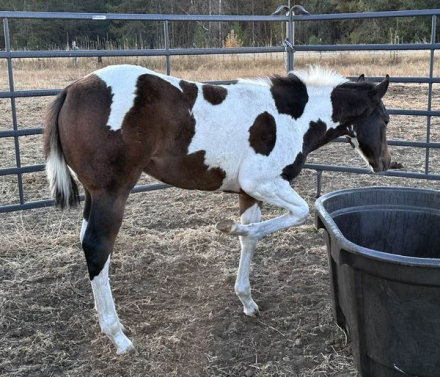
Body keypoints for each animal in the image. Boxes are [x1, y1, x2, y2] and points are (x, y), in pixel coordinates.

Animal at [43, 65, 390, 352]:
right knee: (97, 247)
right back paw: (118, 336)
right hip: (111, 194)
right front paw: (230, 228)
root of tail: (71, 90)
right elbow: (299, 213)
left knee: (88, 243)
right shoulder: (261, 182)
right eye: (385, 120)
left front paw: (247, 300)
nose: (385, 163)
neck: (291, 118)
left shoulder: (248, 192)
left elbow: (251, 237)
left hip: (94, 195)